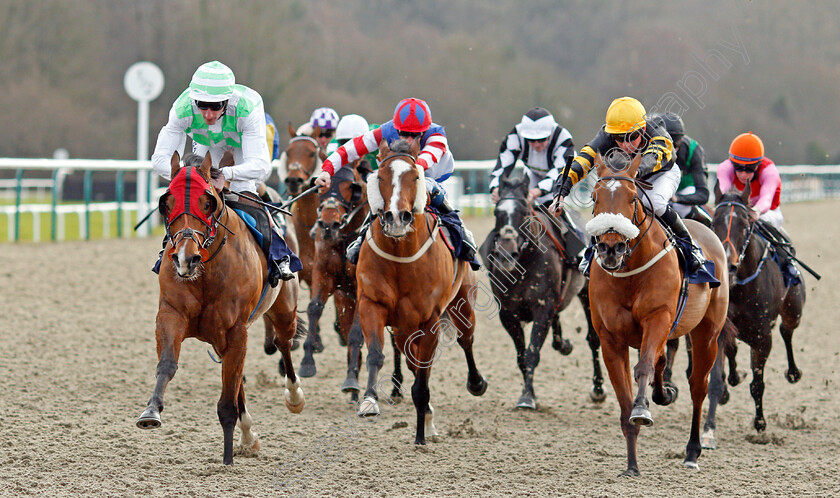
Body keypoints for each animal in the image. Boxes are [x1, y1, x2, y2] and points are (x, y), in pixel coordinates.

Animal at [138, 152, 306, 466]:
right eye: (166, 203)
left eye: (208, 202)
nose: (185, 257)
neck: (206, 272)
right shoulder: (171, 315)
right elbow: (167, 365)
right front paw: (151, 410)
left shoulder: (236, 329)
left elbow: (227, 402)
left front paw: (228, 459)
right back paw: (248, 435)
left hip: (283, 309)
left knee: (284, 343)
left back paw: (294, 397)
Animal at [352, 139, 486, 444]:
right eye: (380, 177)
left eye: (414, 177)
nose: (396, 218)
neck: (400, 257)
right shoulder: (371, 304)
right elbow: (376, 353)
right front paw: (369, 400)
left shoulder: (430, 319)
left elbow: (423, 377)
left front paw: (421, 437)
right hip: (403, 327)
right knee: (411, 358)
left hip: (462, 303)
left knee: (466, 339)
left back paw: (475, 383)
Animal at [480, 175, 604, 408]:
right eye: (497, 213)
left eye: (523, 212)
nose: (505, 255)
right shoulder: (508, 314)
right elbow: (521, 357)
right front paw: (528, 392)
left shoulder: (543, 308)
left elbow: (532, 354)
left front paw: (527, 397)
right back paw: (563, 344)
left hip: (586, 294)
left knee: (593, 340)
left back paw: (598, 388)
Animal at [584, 152, 728, 474]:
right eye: (594, 197)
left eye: (633, 197)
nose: (611, 247)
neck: (629, 273)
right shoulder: (610, 338)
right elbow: (624, 392)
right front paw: (631, 464)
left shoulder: (658, 318)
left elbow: (644, 368)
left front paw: (642, 409)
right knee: (663, 361)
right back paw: (663, 395)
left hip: (707, 334)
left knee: (698, 387)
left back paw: (692, 452)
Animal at [704, 181, 808, 450]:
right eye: (714, 222)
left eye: (743, 223)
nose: (727, 265)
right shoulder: (719, 329)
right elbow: (716, 380)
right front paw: (708, 431)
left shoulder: (762, 337)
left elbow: (757, 384)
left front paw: (760, 425)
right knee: (733, 352)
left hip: (794, 310)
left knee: (786, 331)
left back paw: (793, 372)